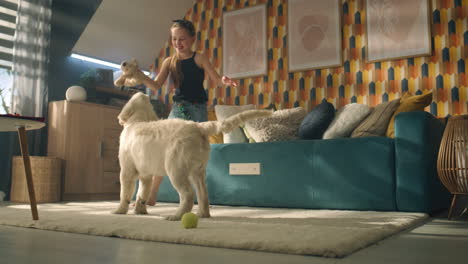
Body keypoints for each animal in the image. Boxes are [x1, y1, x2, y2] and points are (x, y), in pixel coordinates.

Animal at [113, 93, 272, 221]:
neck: (137, 121)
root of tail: (199, 127)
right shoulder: (146, 175)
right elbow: (142, 193)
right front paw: (140, 211)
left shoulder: (126, 171)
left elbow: (124, 193)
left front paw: (119, 211)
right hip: (197, 170)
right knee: (203, 193)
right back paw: (203, 214)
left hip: (176, 168)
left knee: (188, 195)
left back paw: (176, 216)